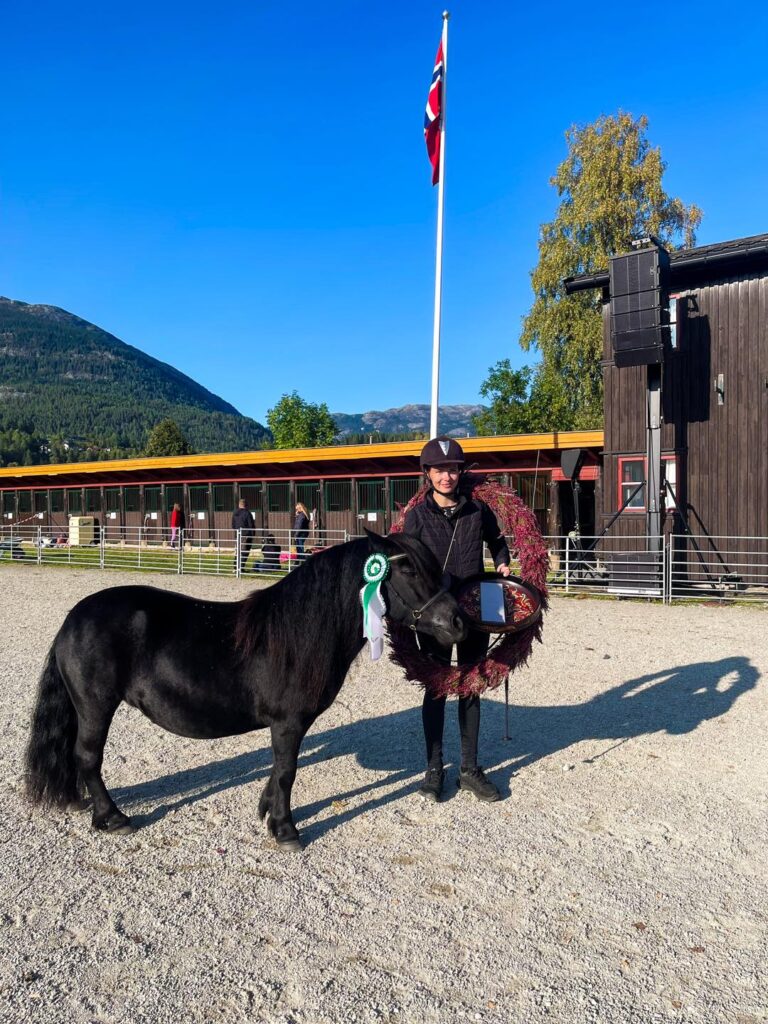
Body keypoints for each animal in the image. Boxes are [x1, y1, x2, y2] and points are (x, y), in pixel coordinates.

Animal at [24, 528, 466, 847]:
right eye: (408, 570)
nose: (458, 622)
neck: (297, 633)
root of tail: (74, 618)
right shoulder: (288, 722)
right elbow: (287, 771)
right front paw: (285, 829)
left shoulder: (286, 726)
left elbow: (278, 769)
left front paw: (267, 810)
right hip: (96, 705)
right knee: (87, 757)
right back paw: (112, 818)